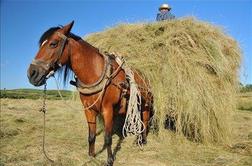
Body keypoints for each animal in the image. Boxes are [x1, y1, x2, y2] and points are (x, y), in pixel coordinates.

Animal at [27, 21, 154, 165]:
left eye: (53, 43)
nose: (32, 74)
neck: (95, 74)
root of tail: (144, 77)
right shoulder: (88, 110)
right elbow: (91, 135)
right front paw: (91, 155)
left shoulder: (108, 110)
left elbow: (107, 138)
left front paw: (109, 160)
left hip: (145, 105)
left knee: (144, 119)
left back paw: (142, 140)